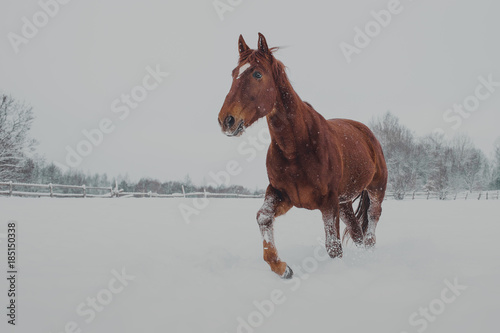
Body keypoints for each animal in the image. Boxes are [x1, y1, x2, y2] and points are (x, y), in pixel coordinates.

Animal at [218, 33, 386, 278]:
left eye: (257, 74)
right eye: (233, 73)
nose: (226, 120)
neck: (297, 148)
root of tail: (367, 133)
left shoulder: (328, 203)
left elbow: (333, 247)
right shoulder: (283, 195)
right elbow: (263, 217)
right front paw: (282, 268)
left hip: (375, 190)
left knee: (372, 225)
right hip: (344, 202)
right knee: (357, 232)